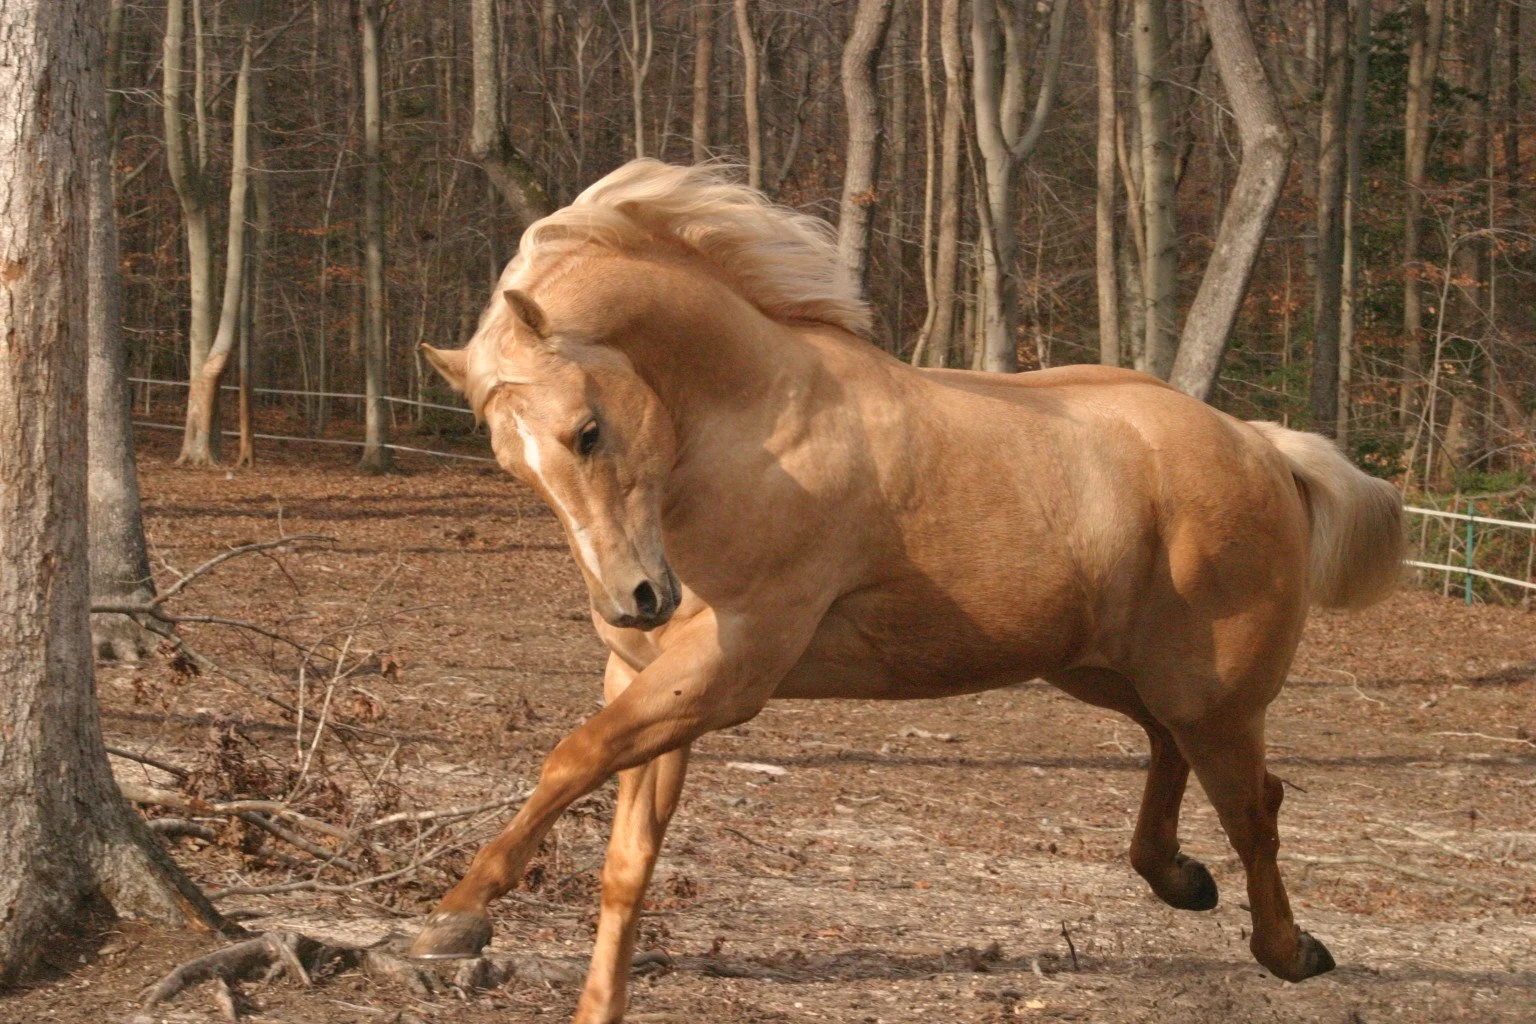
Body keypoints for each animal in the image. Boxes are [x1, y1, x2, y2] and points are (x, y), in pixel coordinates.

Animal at [412, 160, 1404, 1023]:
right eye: (514, 466)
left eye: (586, 431)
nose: (636, 599)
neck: (756, 428)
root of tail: (1260, 445)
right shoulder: (648, 680)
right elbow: (626, 861)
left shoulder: (728, 672)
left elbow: (569, 758)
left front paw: (455, 918)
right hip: (1104, 670)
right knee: (1174, 752)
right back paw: (1179, 878)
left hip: (1217, 693)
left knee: (1255, 806)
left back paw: (1290, 951)